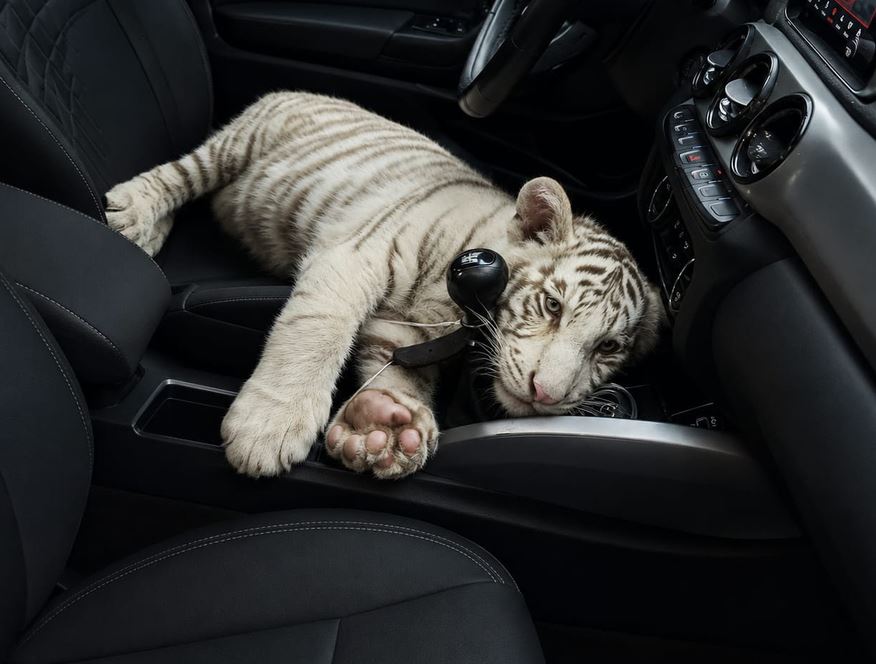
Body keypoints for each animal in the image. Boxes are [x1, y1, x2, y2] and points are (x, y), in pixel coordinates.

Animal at [105, 91, 665, 480]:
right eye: (552, 305)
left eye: (608, 347)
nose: (545, 395)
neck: (455, 307)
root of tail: (307, 91)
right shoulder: (354, 257)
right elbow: (315, 333)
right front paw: (268, 427)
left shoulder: (406, 329)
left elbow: (399, 374)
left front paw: (385, 427)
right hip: (239, 144)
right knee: (182, 173)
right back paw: (133, 213)